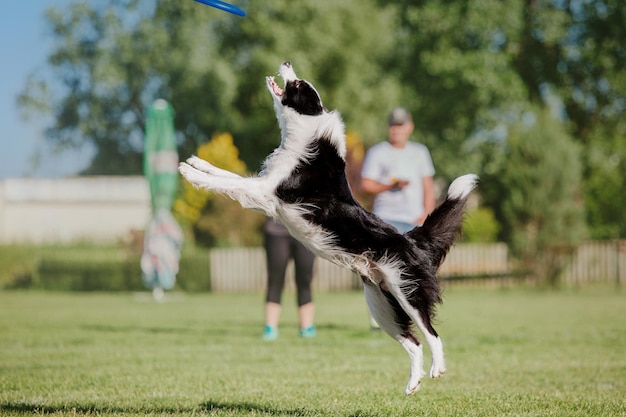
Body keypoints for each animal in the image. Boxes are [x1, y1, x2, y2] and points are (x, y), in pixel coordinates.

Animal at [178, 61, 476, 394]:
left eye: (299, 85)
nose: (286, 62)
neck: (304, 135)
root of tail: (412, 239)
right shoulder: (265, 189)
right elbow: (228, 175)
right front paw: (197, 162)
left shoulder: (266, 194)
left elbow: (230, 183)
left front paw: (191, 174)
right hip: (381, 305)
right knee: (413, 342)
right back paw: (412, 384)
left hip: (406, 290)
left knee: (431, 333)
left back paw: (438, 369)